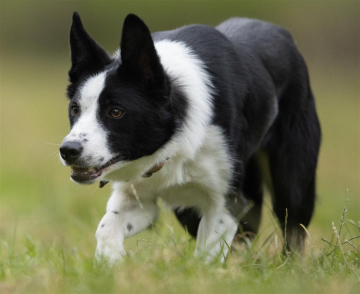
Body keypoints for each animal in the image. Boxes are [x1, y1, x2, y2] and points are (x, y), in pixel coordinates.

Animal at [59, 12, 320, 262]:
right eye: (75, 109)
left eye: (116, 112)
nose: (68, 150)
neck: (173, 141)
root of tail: (283, 34)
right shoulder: (138, 197)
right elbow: (106, 227)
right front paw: (110, 263)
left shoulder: (225, 203)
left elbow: (206, 255)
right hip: (188, 209)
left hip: (292, 180)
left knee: (293, 228)